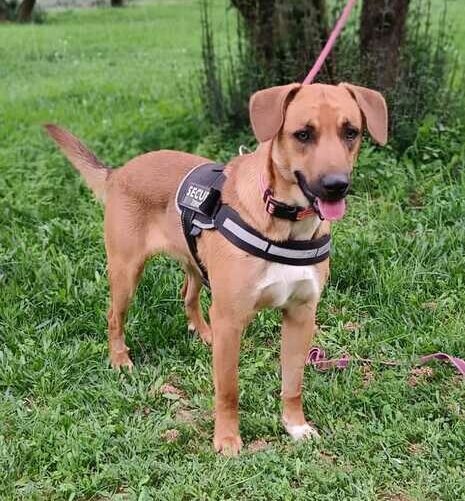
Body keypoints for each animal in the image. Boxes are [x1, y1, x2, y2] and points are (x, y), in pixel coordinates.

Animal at [45, 82, 388, 456]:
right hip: (126, 274)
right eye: (303, 134)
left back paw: (203, 332)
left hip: (195, 264)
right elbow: (228, 390)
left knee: (187, 294)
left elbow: (293, 382)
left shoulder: (301, 314)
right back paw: (120, 359)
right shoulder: (231, 318)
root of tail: (119, 172)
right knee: (114, 317)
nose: (336, 185)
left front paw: (295, 425)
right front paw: (226, 439)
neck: (283, 224)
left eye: (351, 132)